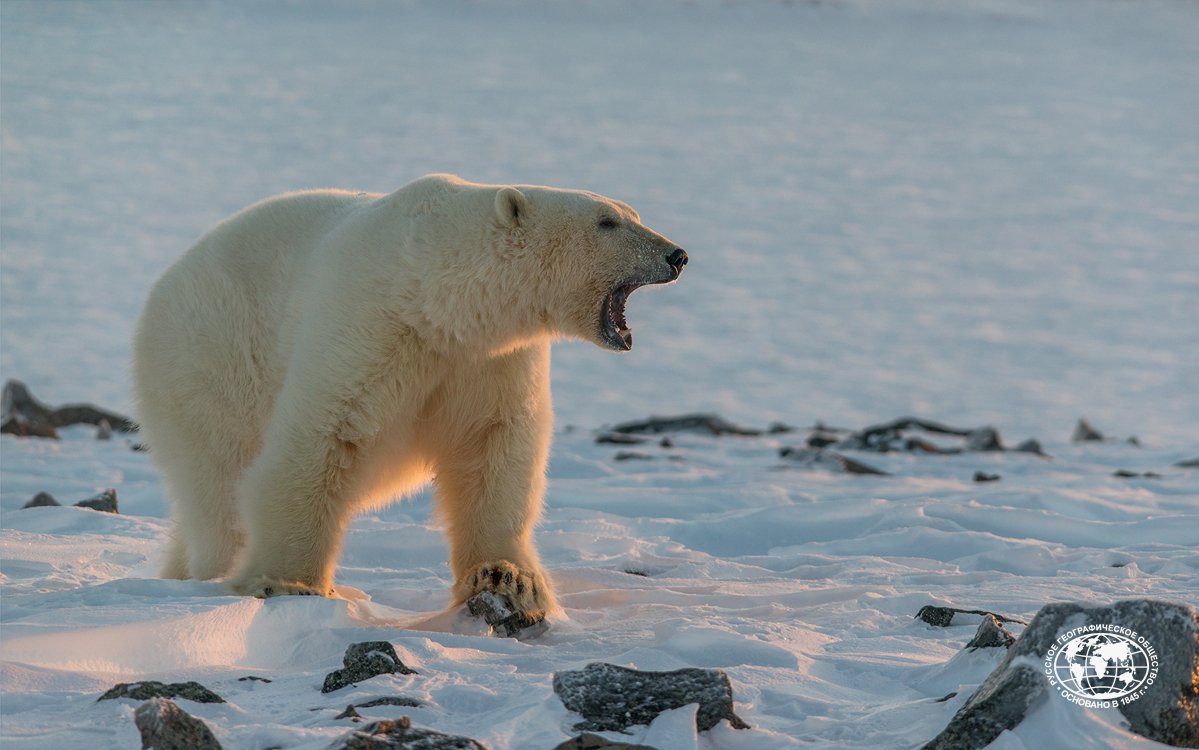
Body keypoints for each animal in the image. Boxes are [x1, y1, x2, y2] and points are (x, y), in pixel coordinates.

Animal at [132, 174, 686, 621]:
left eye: (633, 214)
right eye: (607, 221)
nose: (676, 255)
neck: (435, 298)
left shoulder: (489, 358)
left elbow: (494, 448)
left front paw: (508, 578)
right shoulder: (367, 327)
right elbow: (320, 439)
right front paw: (285, 581)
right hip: (209, 358)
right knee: (219, 484)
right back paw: (212, 569)